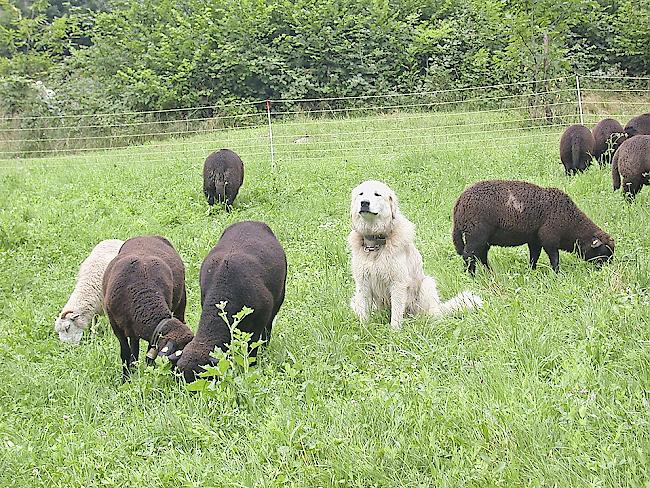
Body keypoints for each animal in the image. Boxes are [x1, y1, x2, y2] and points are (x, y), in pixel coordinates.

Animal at [102, 234, 194, 380]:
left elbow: (148, 356)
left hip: (181, 299)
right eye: (177, 359)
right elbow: (126, 353)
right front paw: (126, 378)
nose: (181, 381)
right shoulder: (117, 326)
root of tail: (145, 236)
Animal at [350, 181, 480, 330]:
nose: (364, 203)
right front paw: (364, 329)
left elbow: (396, 313)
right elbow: (364, 313)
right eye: (361, 194)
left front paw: (394, 332)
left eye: (377, 194)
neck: (375, 244)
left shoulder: (398, 283)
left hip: (427, 284)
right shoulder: (363, 284)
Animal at [450, 180, 612, 272]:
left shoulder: (535, 240)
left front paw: (531, 271)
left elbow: (534, 257)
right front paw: (557, 274)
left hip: (483, 239)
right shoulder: (549, 238)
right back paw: (471, 275)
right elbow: (554, 259)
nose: (605, 271)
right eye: (604, 251)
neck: (570, 221)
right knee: (468, 256)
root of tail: (459, 204)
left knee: (481, 256)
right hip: (476, 235)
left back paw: (489, 273)